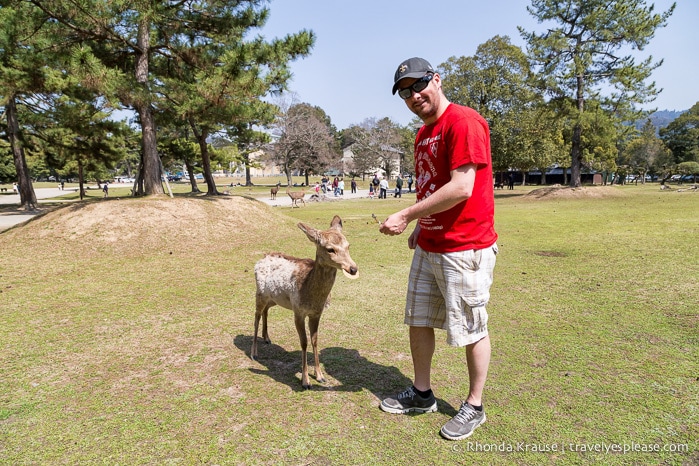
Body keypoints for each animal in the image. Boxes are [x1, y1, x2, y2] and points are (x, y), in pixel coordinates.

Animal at [252, 216, 358, 390]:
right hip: (259, 293)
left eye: (348, 245)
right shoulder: (298, 311)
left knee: (266, 310)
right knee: (256, 317)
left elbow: (315, 340)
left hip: (274, 298)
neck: (311, 294)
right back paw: (254, 353)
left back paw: (267, 338)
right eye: (330, 249)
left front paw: (320, 376)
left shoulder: (316, 313)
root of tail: (262, 258)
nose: (353, 269)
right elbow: (304, 342)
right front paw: (305, 381)